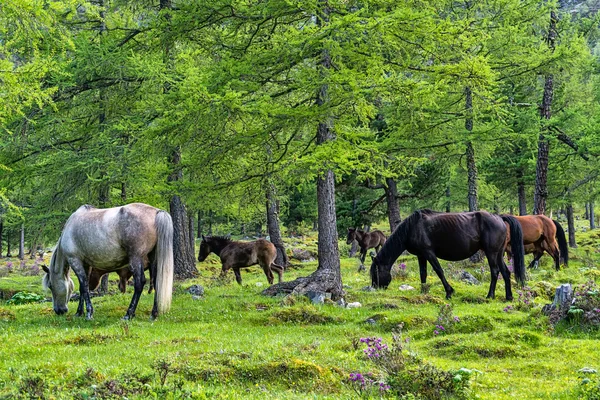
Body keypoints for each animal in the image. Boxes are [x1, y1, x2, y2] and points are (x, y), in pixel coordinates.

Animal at [41, 203, 173, 318]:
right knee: (156, 282)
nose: (59, 310)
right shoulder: (86, 265)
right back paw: (154, 314)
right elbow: (84, 288)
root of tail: (156, 212)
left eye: (50, 286)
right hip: (154, 259)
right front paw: (79, 312)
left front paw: (89, 313)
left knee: (139, 283)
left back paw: (129, 314)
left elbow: (84, 286)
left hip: (135, 259)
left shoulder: (75, 261)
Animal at [370, 209, 524, 300]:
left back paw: (490, 295)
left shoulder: (429, 253)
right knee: (505, 272)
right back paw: (509, 297)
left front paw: (449, 292)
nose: (376, 288)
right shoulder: (421, 255)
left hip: (491, 253)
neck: (412, 228)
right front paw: (423, 292)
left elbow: (439, 271)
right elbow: (423, 273)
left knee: (495, 271)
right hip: (498, 253)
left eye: (375, 272)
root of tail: (499, 217)